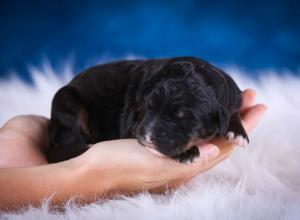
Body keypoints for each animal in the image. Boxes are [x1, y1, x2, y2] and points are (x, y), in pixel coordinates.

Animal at [47, 56, 248, 163]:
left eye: (182, 117)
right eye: (148, 106)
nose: (148, 136)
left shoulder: (233, 95)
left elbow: (233, 111)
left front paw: (238, 133)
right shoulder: (134, 121)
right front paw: (187, 153)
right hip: (66, 100)